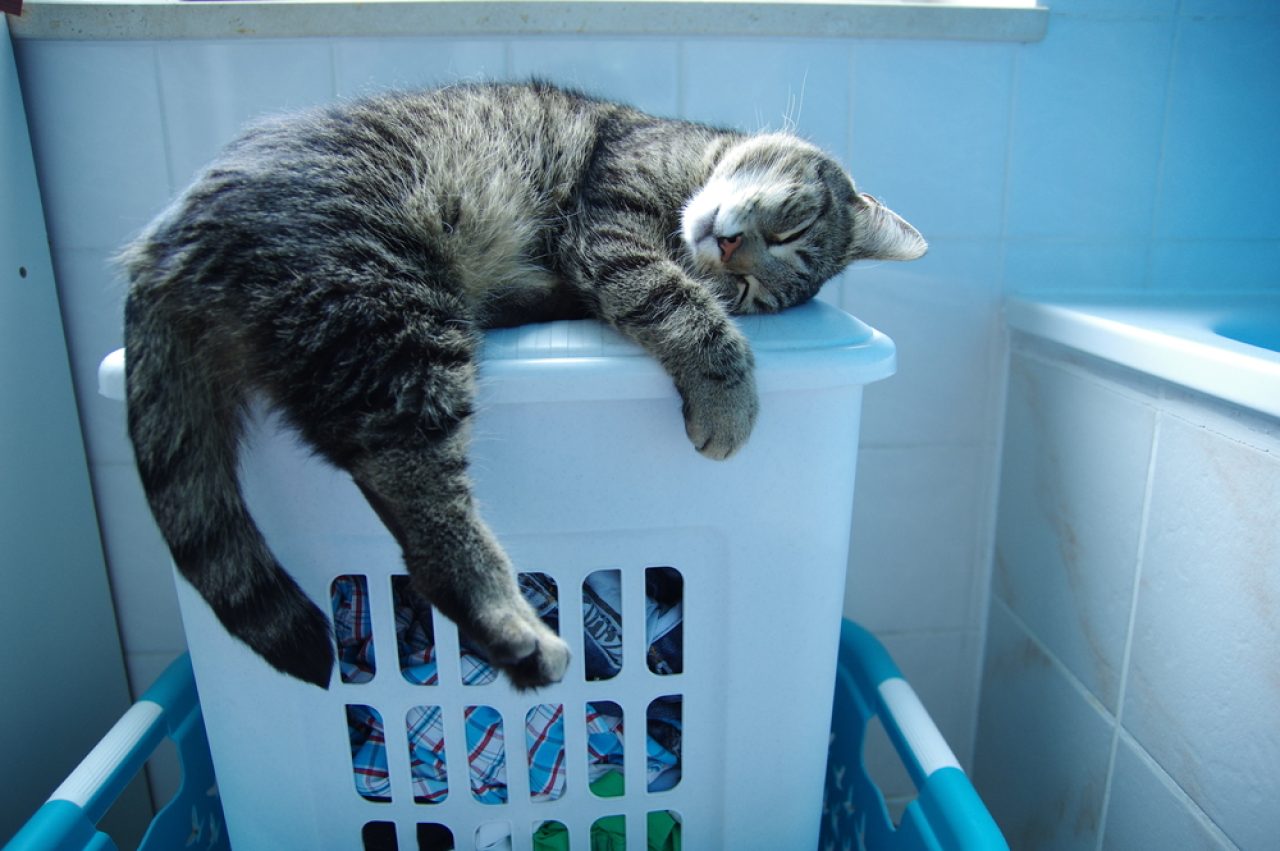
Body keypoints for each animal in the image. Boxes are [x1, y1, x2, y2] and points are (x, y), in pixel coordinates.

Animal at [117, 79, 921, 691]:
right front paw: (728, 394)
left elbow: (681, 298)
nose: (727, 248)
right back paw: (515, 628)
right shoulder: (610, 224)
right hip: (397, 319)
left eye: (752, 288)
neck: (692, 158)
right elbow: (680, 304)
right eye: (792, 224)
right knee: (421, 506)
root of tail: (162, 245)